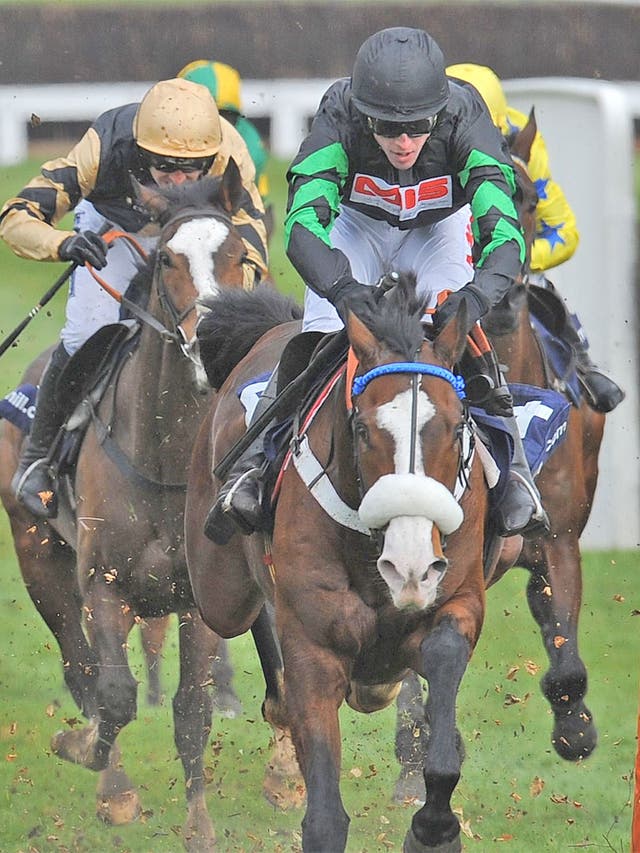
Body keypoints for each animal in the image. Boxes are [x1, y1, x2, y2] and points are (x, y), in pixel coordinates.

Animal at [0, 158, 292, 844]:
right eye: (166, 259)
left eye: (240, 255)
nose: (212, 340)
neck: (167, 462)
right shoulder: (104, 583)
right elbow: (113, 695)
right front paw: (103, 777)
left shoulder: (198, 600)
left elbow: (191, 709)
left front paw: (199, 827)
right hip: (39, 557)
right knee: (81, 668)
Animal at [185, 276, 520, 848]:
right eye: (363, 429)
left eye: (457, 428)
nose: (410, 567)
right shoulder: (315, 645)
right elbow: (324, 816)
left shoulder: (458, 601)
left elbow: (445, 666)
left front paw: (433, 825)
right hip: (217, 590)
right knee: (248, 613)